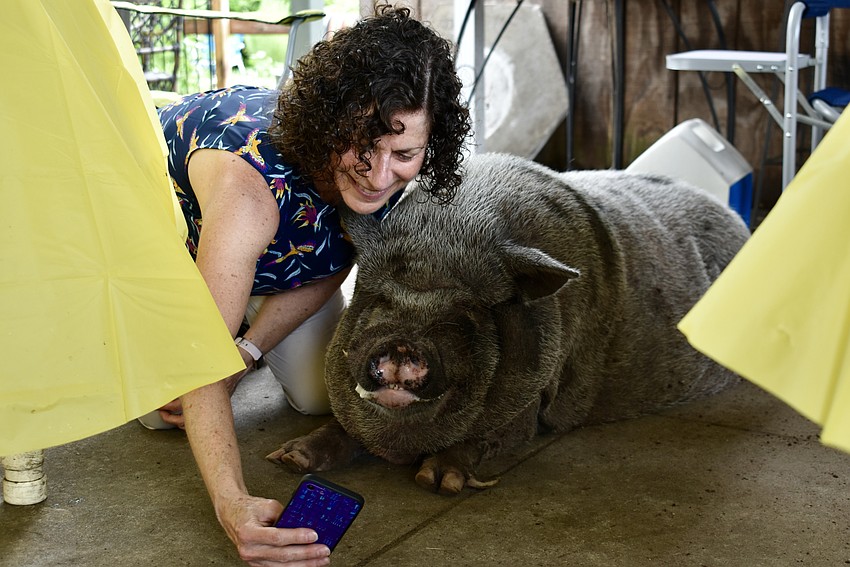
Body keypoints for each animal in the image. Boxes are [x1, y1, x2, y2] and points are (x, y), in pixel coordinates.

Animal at [267, 152, 750, 494]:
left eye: (464, 316)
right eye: (379, 298)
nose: (403, 343)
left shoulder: (533, 399)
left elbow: (492, 436)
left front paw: (438, 482)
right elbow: (340, 427)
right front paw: (287, 459)